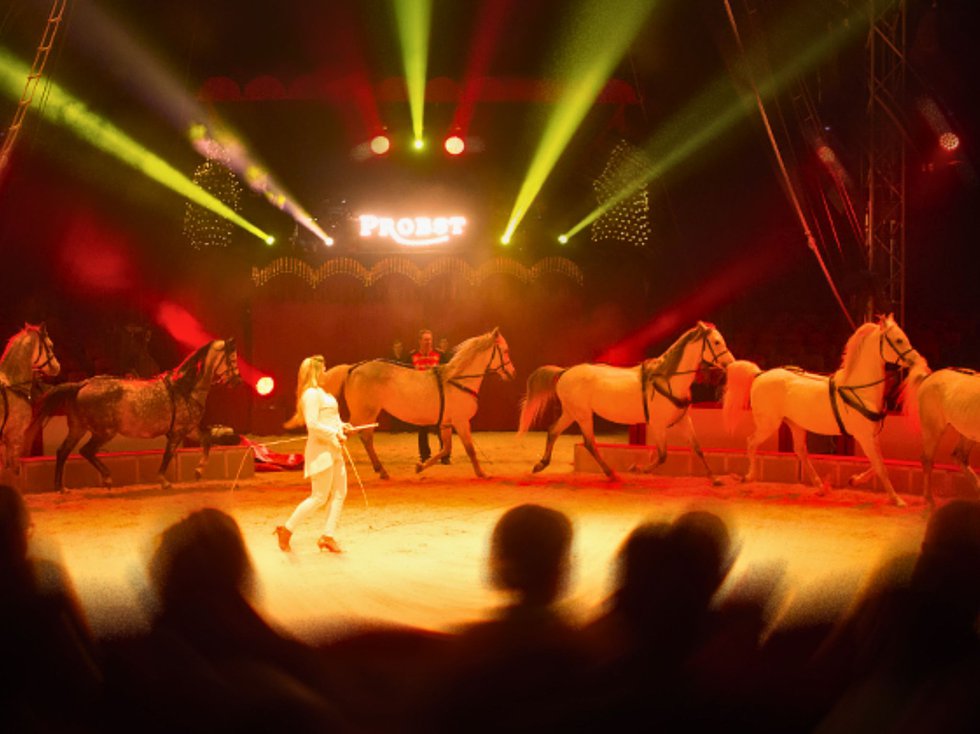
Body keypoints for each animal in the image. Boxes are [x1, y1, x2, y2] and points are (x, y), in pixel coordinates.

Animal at [32, 340, 239, 492]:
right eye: (232, 359)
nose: (237, 380)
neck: (185, 389)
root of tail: (82, 384)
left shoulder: (189, 430)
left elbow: (207, 442)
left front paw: (198, 471)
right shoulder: (177, 432)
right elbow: (168, 455)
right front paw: (164, 481)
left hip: (78, 428)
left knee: (63, 452)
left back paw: (61, 488)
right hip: (103, 432)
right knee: (86, 451)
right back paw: (107, 479)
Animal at [322, 330, 520, 480]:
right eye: (506, 351)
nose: (513, 373)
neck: (456, 380)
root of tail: (353, 368)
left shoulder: (446, 423)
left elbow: (445, 448)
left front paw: (420, 467)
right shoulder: (461, 421)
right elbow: (470, 449)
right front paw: (482, 473)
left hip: (368, 414)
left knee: (366, 438)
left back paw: (382, 471)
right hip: (363, 413)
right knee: (347, 435)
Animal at [516, 322, 732, 484]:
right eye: (716, 342)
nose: (729, 363)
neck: (667, 379)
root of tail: (565, 371)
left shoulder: (683, 420)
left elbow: (698, 449)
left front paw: (714, 479)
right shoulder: (658, 424)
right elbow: (663, 455)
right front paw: (638, 468)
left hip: (571, 412)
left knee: (553, 431)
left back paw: (542, 464)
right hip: (582, 414)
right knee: (589, 443)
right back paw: (611, 474)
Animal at [720, 314, 920, 508]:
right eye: (899, 340)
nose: (916, 361)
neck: (858, 389)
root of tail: (759, 375)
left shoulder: (871, 436)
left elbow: (879, 463)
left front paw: (854, 480)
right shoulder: (864, 436)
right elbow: (880, 467)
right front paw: (897, 500)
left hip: (795, 424)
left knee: (800, 451)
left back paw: (820, 487)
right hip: (768, 424)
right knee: (751, 442)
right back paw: (749, 476)